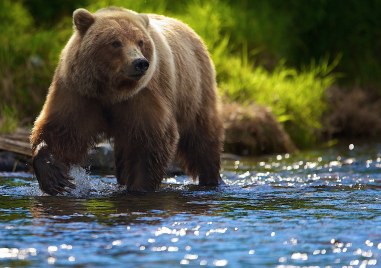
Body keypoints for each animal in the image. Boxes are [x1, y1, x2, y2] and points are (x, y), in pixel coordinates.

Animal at [31, 6, 226, 195]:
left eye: (140, 41)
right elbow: (62, 129)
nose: (140, 63)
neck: (111, 91)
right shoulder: (80, 92)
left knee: (201, 137)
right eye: (115, 42)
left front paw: (140, 187)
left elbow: (149, 140)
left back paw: (210, 178)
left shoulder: (142, 95)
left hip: (194, 90)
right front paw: (54, 176)